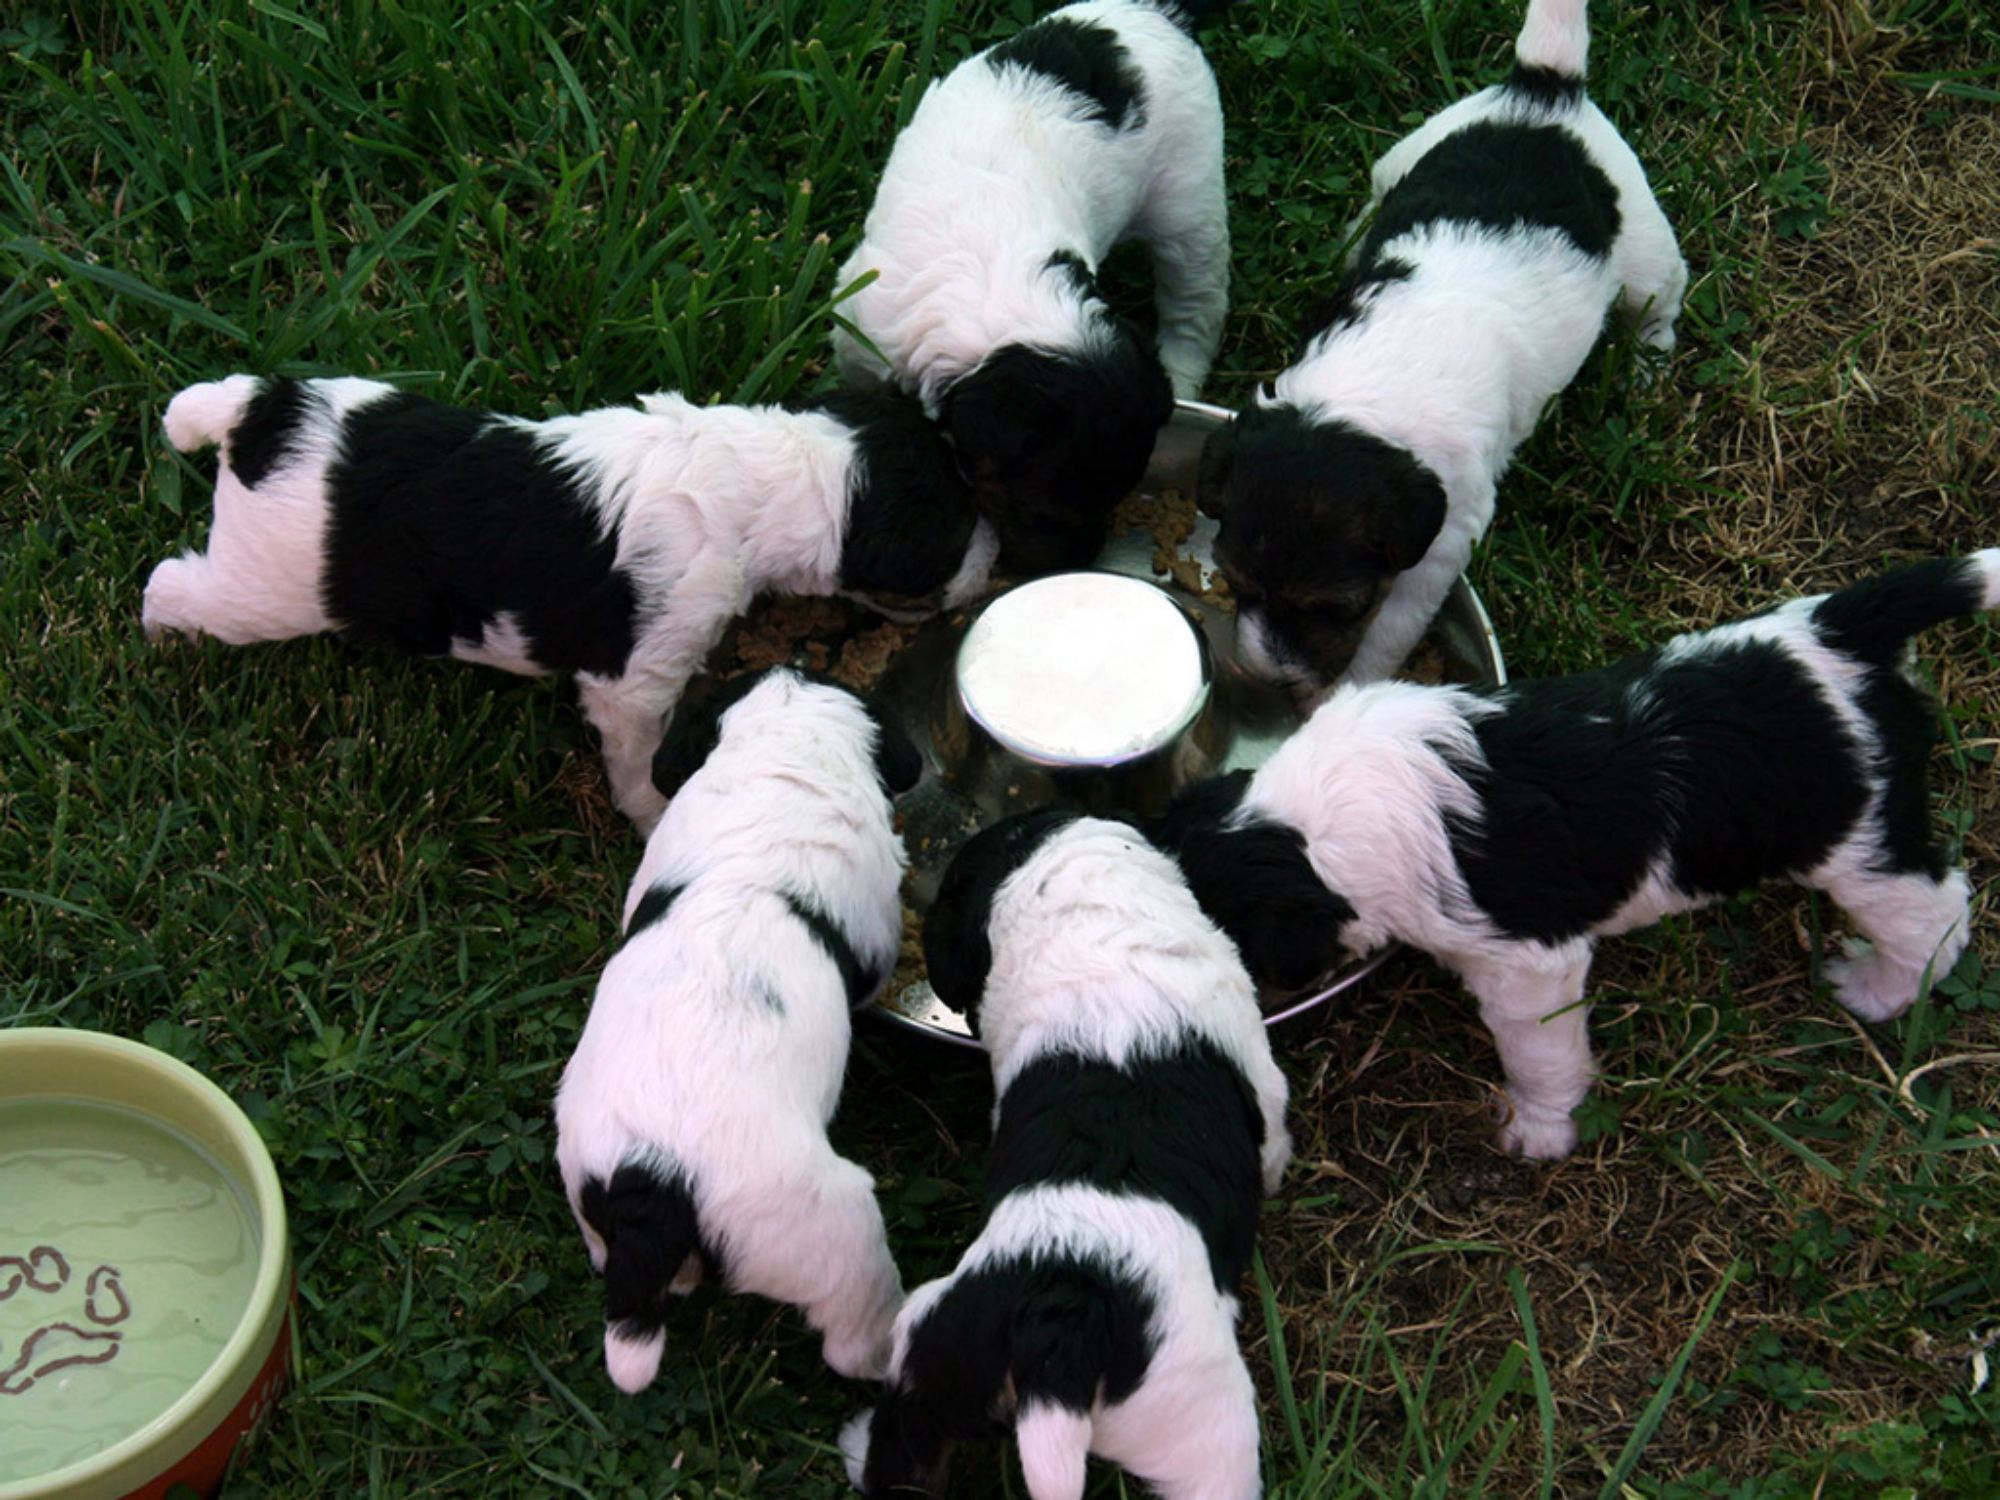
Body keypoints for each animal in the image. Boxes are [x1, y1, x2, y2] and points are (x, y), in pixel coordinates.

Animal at [143, 375, 995, 829]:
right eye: (954, 534)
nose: (997, 555)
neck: (768, 470)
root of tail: (257, 417)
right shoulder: (640, 677)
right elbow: (639, 755)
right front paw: (650, 811)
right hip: (262, 590)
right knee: (174, 583)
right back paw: (159, 632)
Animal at [833, 0, 1239, 574]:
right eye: (1035, 505)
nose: (1079, 560)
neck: (999, 290)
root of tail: (1155, 12)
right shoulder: (861, 330)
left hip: (1187, 195)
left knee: (1195, 300)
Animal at [841, 811, 1290, 1499]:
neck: (1087, 909)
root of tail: (1058, 1331)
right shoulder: (1267, 1085)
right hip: (1209, 1425)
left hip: (935, 1345)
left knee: (906, 1456)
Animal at [1156, 552, 1998, 1160]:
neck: (1304, 823)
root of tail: (1840, 631)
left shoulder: (1528, 965)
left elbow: (1541, 1054)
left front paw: (1536, 1130)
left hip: (1860, 845)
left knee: (1937, 911)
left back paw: (1880, 989)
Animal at [1197, 0, 1686, 691]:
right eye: (1234, 582)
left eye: (1338, 608)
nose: (1271, 677)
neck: (1359, 401)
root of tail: (1544, 91)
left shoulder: (1440, 546)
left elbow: (1387, 636)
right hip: (1406, 154)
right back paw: (1353, 236)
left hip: (1644, 247)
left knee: (1660, 301)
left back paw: (1647, 366)